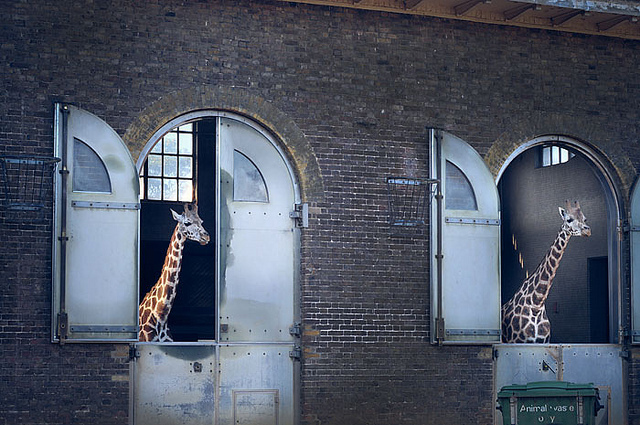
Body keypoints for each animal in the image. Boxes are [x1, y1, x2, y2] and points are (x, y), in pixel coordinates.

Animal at [501, 200, 591, 343]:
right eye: (569, 219)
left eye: (585, 218)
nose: (587, 231)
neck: (536, 303)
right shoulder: (517, 342)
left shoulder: (543, 342)